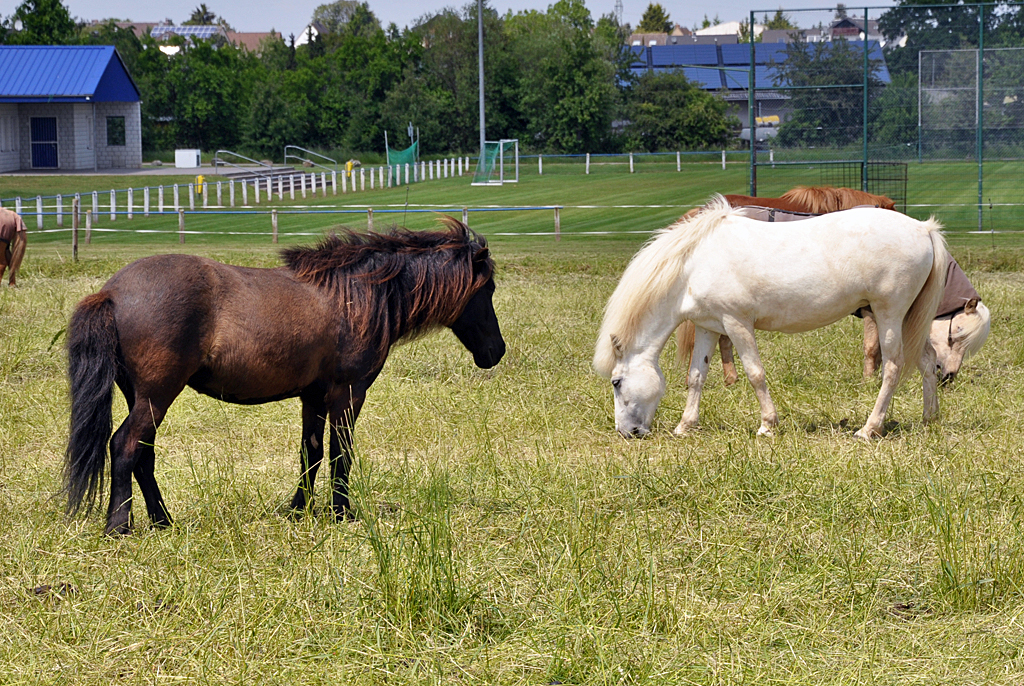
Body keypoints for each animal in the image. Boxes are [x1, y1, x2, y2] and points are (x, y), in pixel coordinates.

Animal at [62, 219, 503, 536]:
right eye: (488, 290)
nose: (495, 352)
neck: (357, 296)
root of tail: (111, 293)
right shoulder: (349, 392)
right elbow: (340, 453)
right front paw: (342, 514)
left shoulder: (314, 396)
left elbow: (312, 452)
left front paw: (298, 509)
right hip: (157, 394)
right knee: (125, 445)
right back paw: (120, 526)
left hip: (142, 396)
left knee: (144, 454)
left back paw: (163, 521)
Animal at [598, 197, 946, 440]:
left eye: (616, 382)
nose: (627, 432)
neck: (694, 264)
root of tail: (923, 229)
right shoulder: (708, 327)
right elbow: (696, 376)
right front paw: (686, 426)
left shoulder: (737, 323)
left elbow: (755, 373)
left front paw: (767, 425)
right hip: (907, 319)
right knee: (928, 360)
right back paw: (930, 418)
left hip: (889, 315)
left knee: (893, 367)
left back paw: (869, 428)